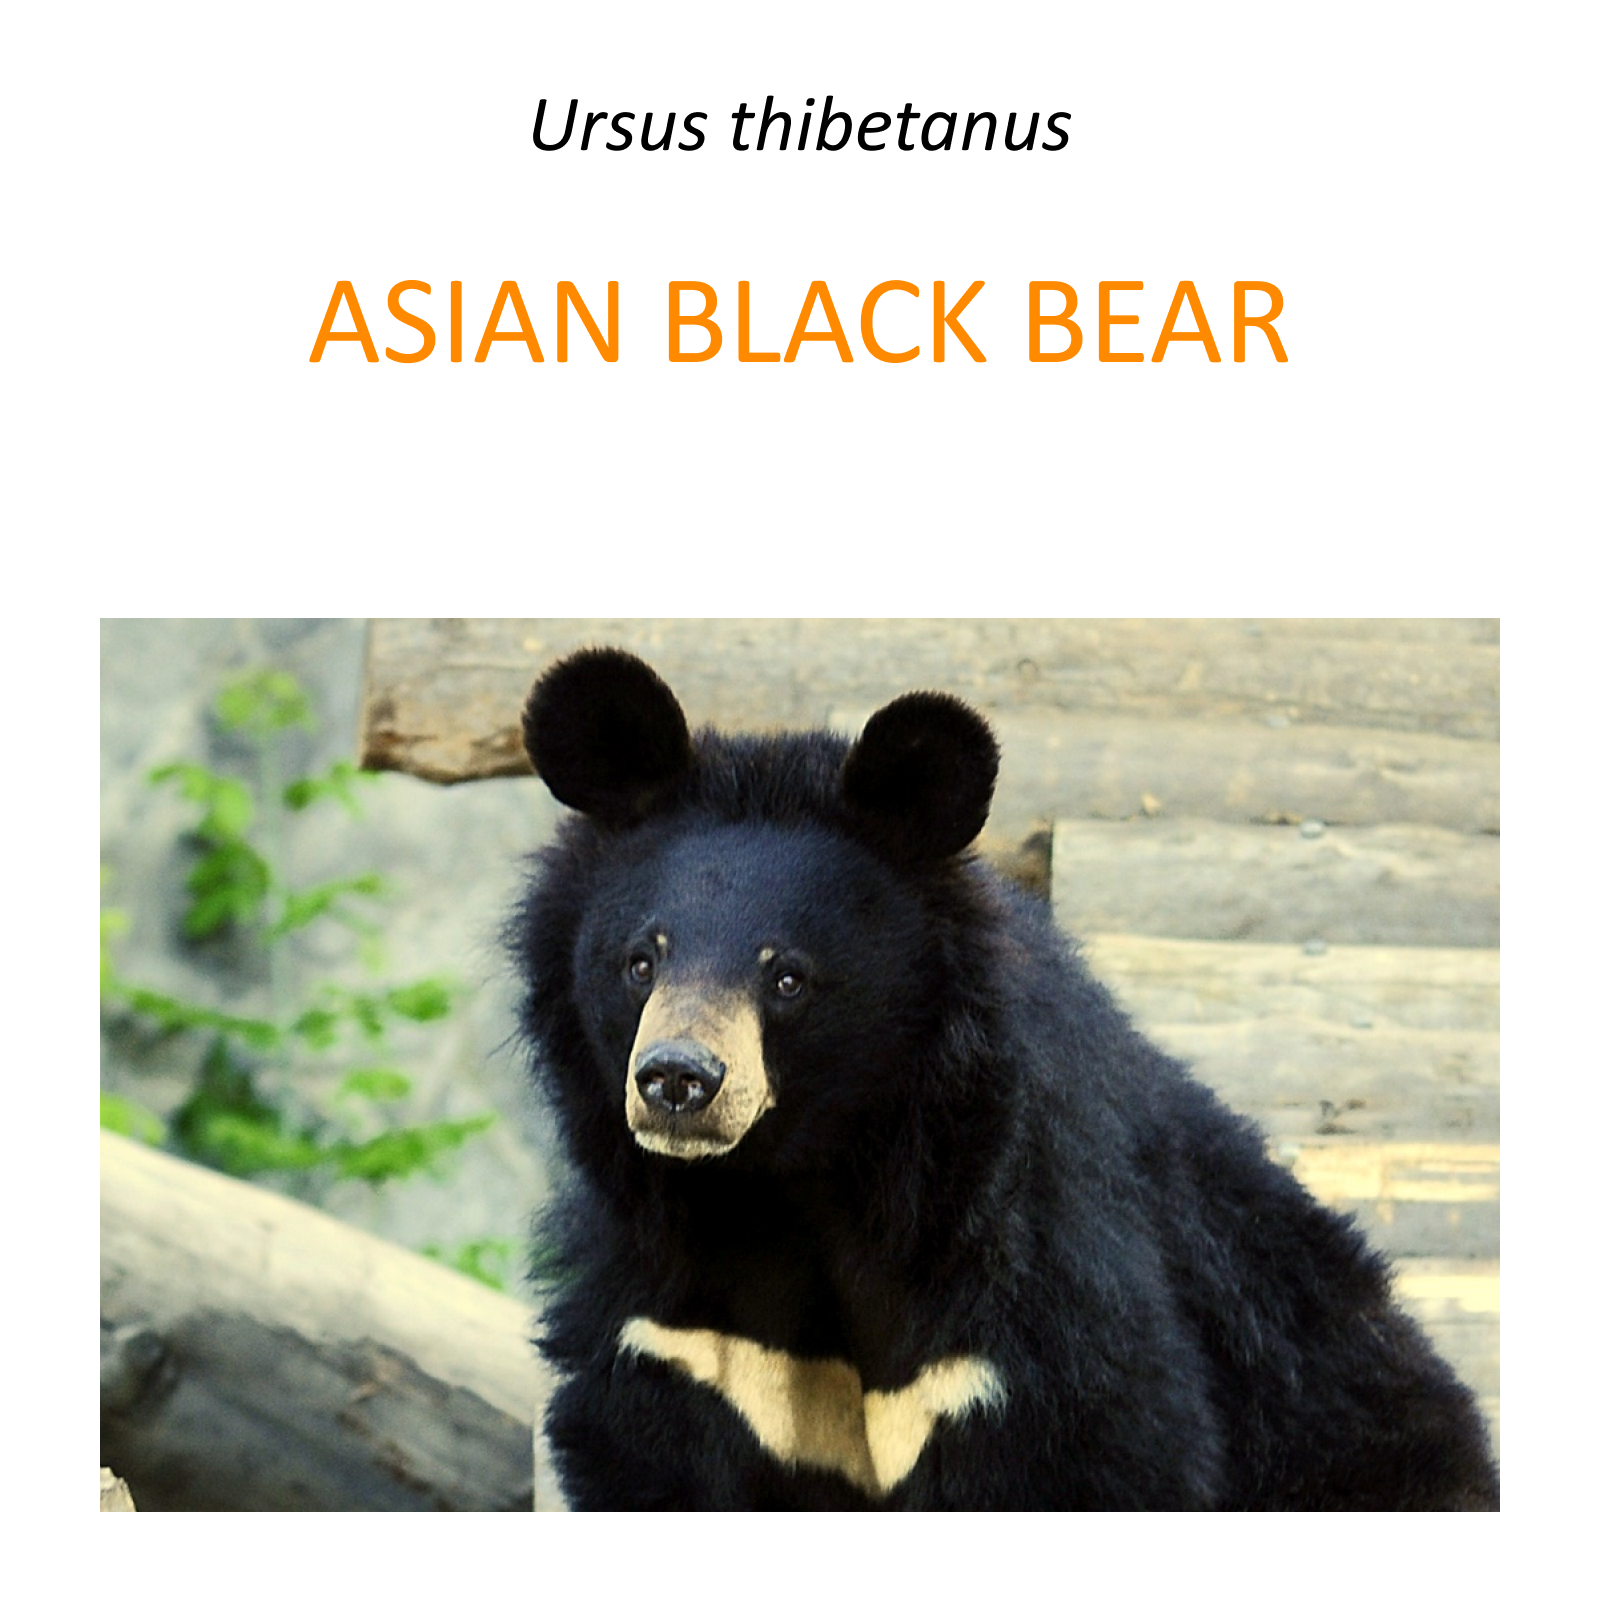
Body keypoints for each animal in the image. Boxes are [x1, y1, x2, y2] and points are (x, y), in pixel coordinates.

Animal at [508, 646, 1500, 1510]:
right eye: (640, 961)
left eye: (786, 977)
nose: (678, 1081)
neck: (794, 1182)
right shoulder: (674, 1336)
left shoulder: (1027, 1300)